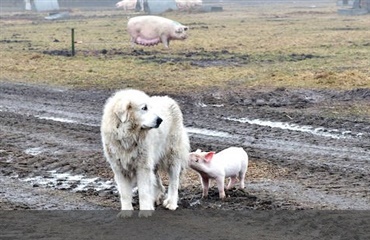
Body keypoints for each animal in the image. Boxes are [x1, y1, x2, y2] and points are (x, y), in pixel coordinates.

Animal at [100, 88, 189, 218]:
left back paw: (171, 203)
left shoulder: (142, 167)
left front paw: (145, 212)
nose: (160, 120)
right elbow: (125, 193)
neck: (128, 136)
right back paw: (156, 197)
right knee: (158, 181)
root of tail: (169, 99)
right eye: (144, 108)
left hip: (172, 156)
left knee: (174, 181)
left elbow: (144, 191)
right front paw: (126, 212)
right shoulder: (119, 168)